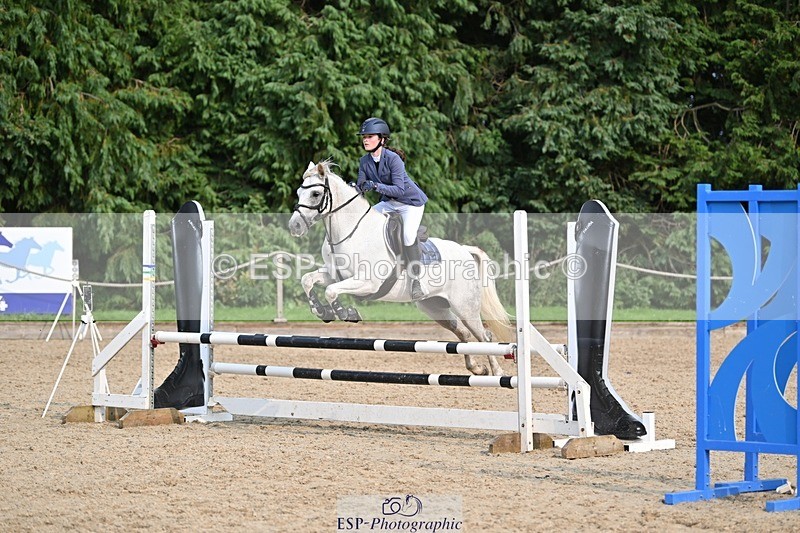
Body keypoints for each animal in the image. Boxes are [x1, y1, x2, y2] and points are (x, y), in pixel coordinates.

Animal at [288, 161, 512, 376]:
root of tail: (465, 250)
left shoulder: (367, 282)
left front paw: (346, 313)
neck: (351, 232)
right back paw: (477, 368)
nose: (294, 226)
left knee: (484, 336)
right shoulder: (335, 275)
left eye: (315, 194)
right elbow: (308, 281)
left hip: (465, 307)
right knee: (464, 334)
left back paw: (497, 371)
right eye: (299, 192)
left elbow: (330, 291)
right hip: (435, 307)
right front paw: (320, 310)